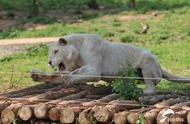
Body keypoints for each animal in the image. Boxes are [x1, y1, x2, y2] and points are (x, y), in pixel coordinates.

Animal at [47, 33, 190, 94]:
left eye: (56, 51)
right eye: (49, 54)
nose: (49, 62)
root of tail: (160, 66)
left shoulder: (94, 69)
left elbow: (78, 73)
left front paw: (67, 78)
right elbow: (77, 73)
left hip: (148, 60)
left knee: (151, 84)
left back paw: (147, 92)